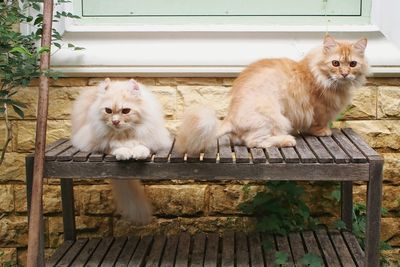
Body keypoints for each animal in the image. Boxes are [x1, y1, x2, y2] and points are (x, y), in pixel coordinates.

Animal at [71, 78, 171, 225]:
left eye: (126, 111)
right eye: (108, 111)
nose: (115, 122)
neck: (125, 134)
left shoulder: (152, 137)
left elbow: (143, 145)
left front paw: (139, 153)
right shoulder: (95, 141)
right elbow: (114, 146)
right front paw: (124, 152)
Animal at [177, 35, 368, 155]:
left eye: (352, 64)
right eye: (335, 63)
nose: (344, 74)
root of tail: (230, 117)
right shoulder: (318, 109)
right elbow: (317, 123)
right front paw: (323, 132)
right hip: (274, 119)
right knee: (253, 142)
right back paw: (287, 140)